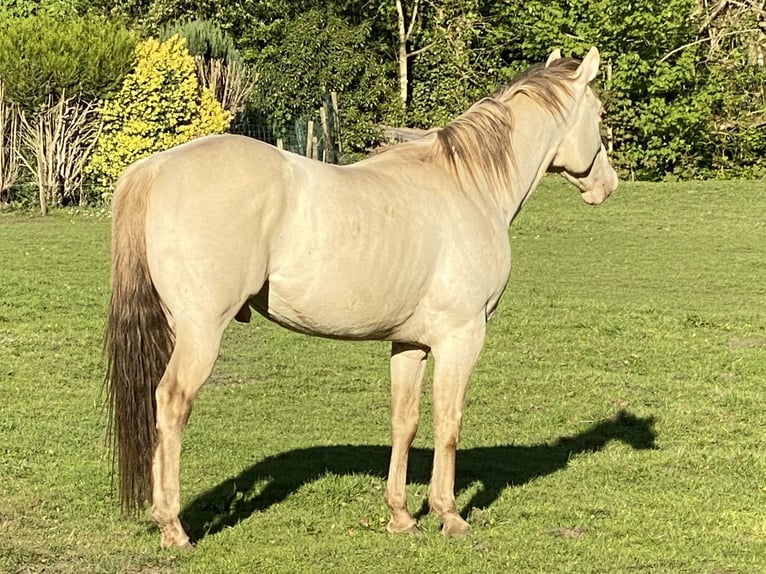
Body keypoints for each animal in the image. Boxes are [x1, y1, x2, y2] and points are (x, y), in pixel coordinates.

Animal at [106, 47, 616, 552]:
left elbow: (404, 421)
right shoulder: (462, 338)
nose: (607, 185)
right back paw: (174, 528)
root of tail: (156, 167)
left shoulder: (410, 344)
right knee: (172, 403)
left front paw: (401, 517)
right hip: (201, 332)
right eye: (599, 113)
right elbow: (448, 422)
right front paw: (449, 515)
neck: (470, 187)